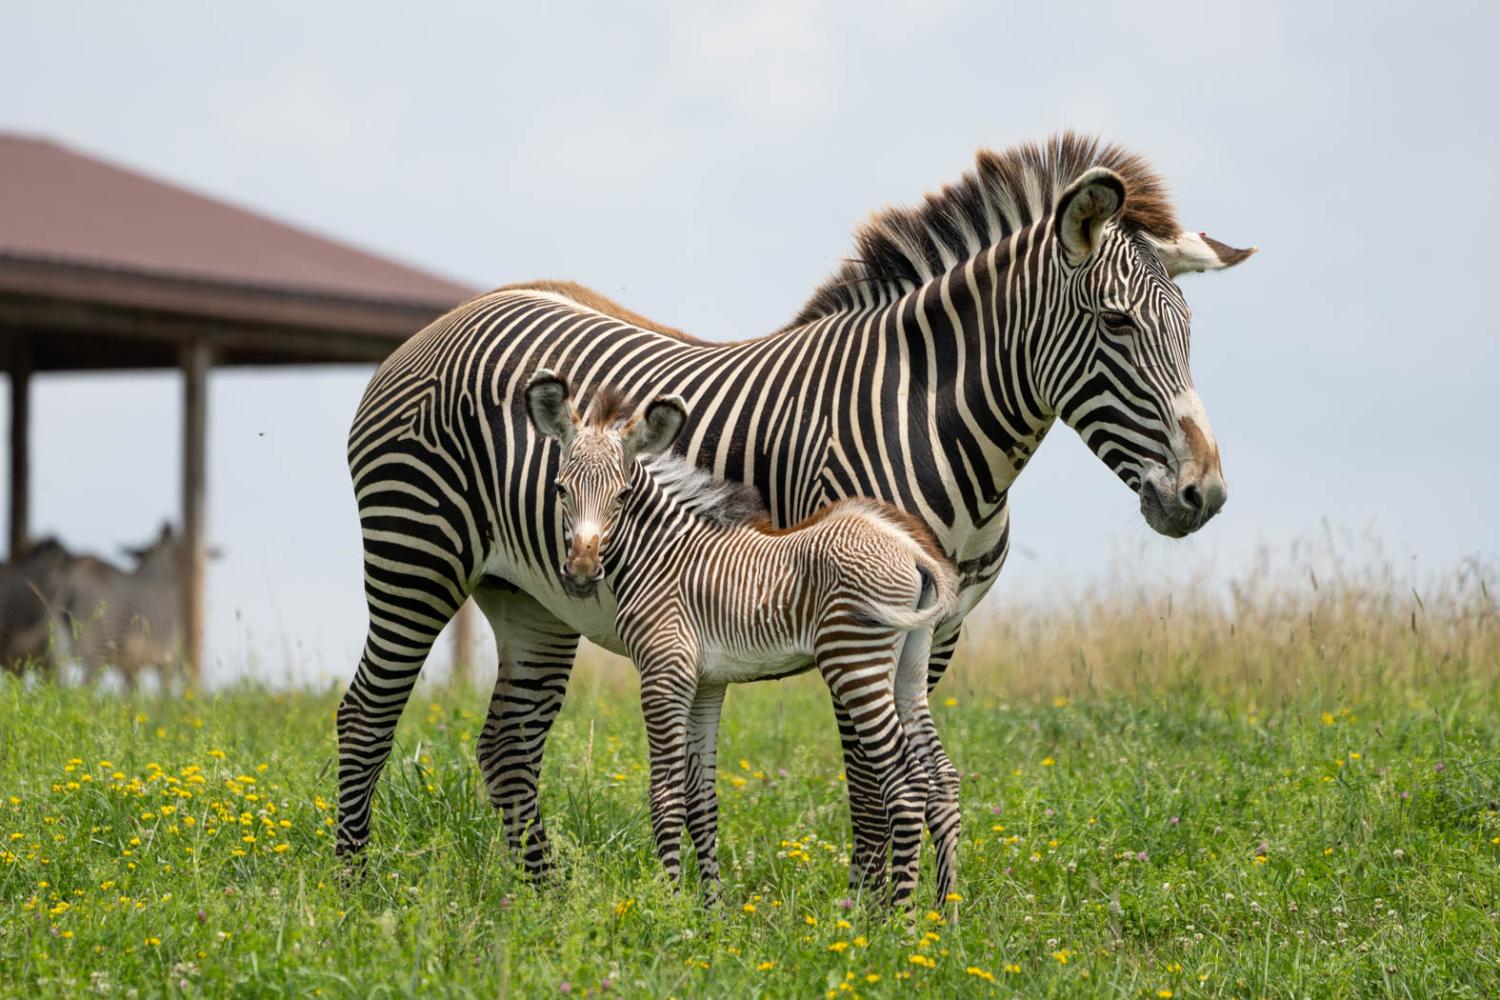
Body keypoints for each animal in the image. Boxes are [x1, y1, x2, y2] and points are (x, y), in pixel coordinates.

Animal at [528, 370, 960, 905]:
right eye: (561, 490)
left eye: (623, 496)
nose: (583, 573)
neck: (662, 554)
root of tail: (914, 552)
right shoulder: (707, 682)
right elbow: (702, 800)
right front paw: (710, 908)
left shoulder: (663, 672)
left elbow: (666, 794)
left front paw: (668, 903)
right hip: (910, 665)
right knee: (942, 779)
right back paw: (944, 915)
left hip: (854, 659)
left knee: (906, 784)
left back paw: (898, 917)